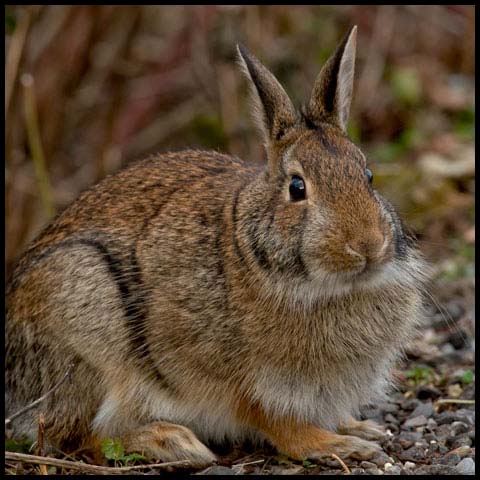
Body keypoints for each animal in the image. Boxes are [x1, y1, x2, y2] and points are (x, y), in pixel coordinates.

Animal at [5, 26, 430, 464]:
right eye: (297, 188)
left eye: (369, 176)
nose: (367, 245)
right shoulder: (244, 380)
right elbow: (277, 422)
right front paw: (335, 444)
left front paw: (357, 427)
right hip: (87, 319)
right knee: (72, 437)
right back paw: (171, 441)